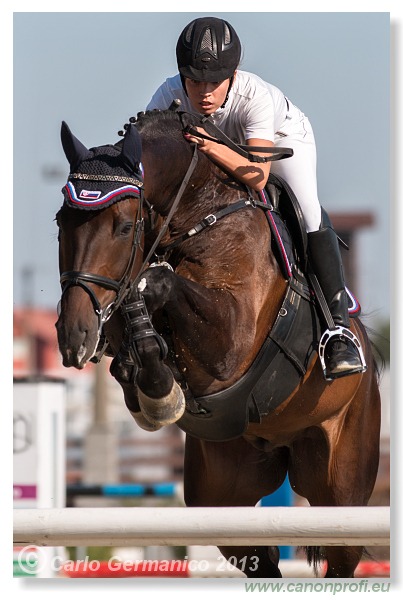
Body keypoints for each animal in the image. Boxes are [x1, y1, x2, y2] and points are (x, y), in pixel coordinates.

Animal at [54, 110, 382, 580]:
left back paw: (341, 354)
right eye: (60, 222)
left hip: (340, 487)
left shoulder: (232, 342)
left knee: (340, 556)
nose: (74, 336)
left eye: (123, 226)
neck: (197, 210)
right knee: (259, 559)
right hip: (224, 494)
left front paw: (159, 388)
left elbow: (158, 282)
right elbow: (132, 337)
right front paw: (155, 390)